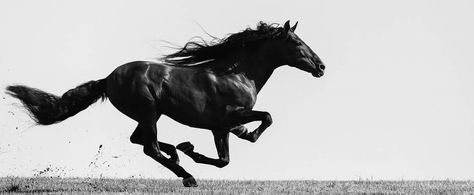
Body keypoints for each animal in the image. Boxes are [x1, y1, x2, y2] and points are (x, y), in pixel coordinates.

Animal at [6, 20, 326, 187]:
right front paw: (197, 153)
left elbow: (228, 155)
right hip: (148, 111)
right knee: (149, 146)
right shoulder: (227, 118)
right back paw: (187, 174)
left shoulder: (220, 126)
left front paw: (191, 148)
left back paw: (178, 152)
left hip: (150, 114)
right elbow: (263, 121)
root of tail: (108, 78)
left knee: (140, 140)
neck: (237, 73)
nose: (321, 67)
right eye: (296, 43)